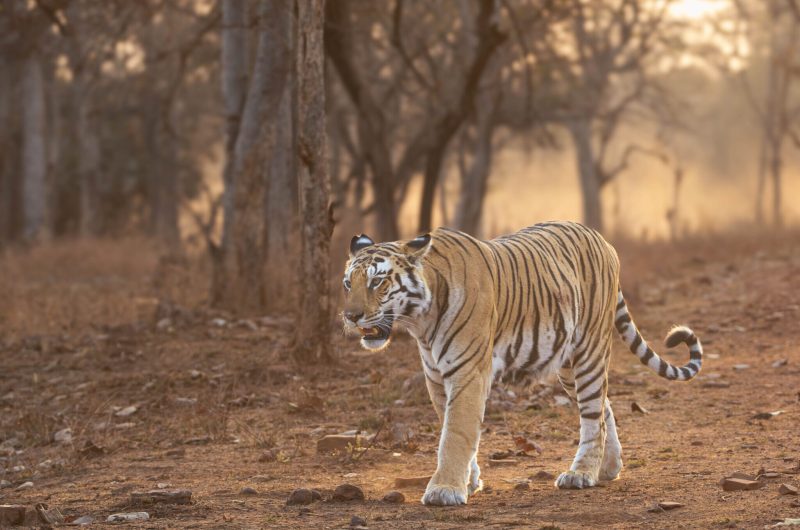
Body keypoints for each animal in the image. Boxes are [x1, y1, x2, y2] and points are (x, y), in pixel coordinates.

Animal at [341, 221, 703, 506]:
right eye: (348, 283)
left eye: (377, 281)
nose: (350, 315)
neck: (421, 321)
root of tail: (601, 238)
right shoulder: (435, 377)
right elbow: (452, 427)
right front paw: (469, 482)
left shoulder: (467, 372)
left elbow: (455, 433)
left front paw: (445, 490)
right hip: (567, 364)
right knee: (603, 407)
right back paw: (608, 468)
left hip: (589, 349)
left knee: (591, 415)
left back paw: (582, 473)